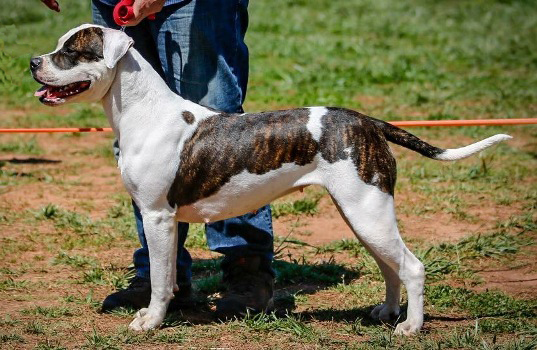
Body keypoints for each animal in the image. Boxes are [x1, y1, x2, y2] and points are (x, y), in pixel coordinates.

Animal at [31, 24, 508, 334]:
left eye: (71, 51)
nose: (33, 61)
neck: (143, 111)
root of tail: (367, 121)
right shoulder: (163, 218)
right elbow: (168, 272)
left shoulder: (158, 215)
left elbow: (163, 278)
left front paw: (150, 321)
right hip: (363, 213)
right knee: (390, 265)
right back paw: (388, 313)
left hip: (368, 211)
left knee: (412, 266)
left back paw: (410, 327)